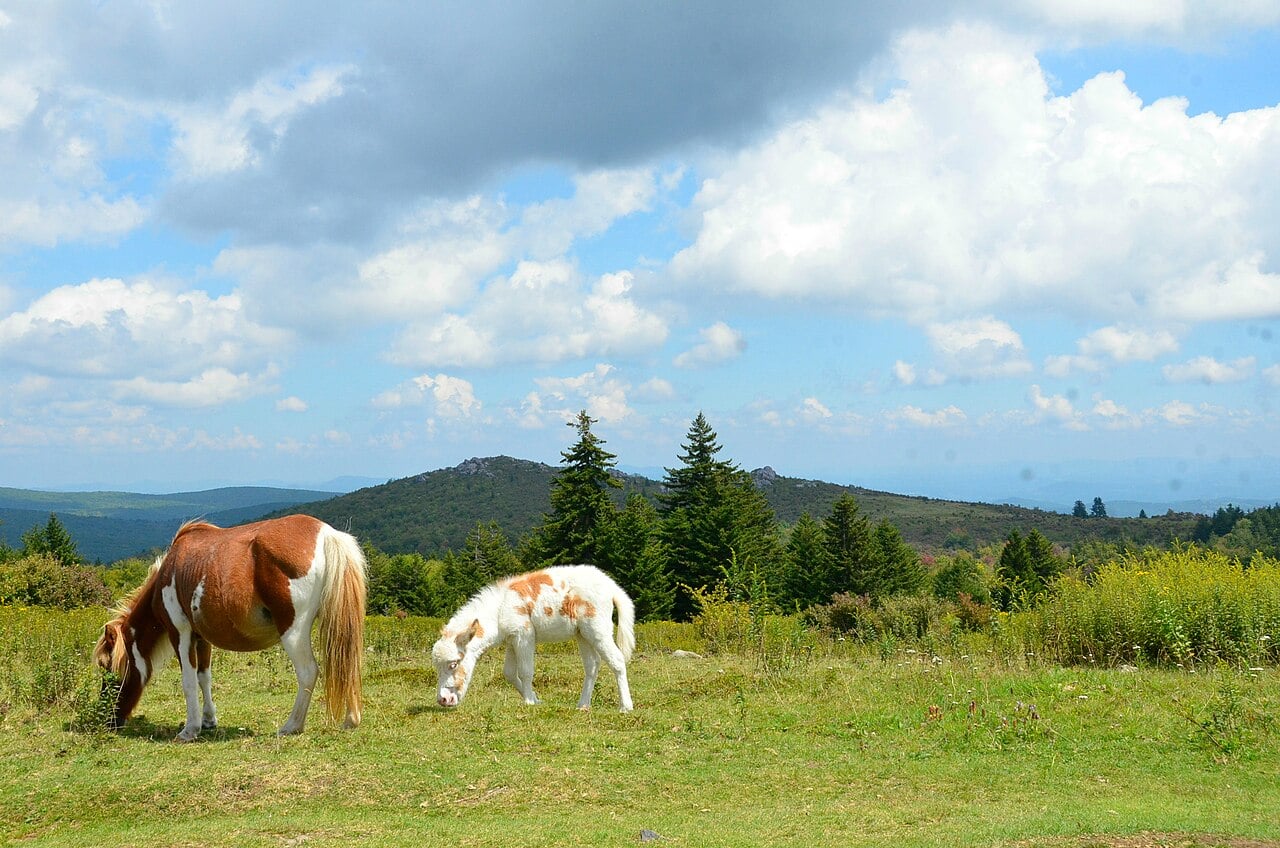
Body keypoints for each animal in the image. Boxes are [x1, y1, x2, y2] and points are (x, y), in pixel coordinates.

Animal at [93, 514, 367, 741]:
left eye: (108, 668)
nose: (109, 721)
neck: (170, 571)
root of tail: (327, 534)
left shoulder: (180, 633)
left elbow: (188, 681)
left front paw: (190, 730)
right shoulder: (201, 638)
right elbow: (204, 677)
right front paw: (208, 720)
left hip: (294, 631)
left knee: (308, 672)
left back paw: (292, 726)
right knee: (349, 663)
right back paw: (351, 720)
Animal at [431, 565, 635, 712]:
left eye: (453, 664)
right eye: (436, 667)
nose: (443, 699)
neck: (498, 611)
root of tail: (611, 586)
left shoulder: (524, 635)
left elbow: (525, 671)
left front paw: (529, 701)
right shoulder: (512, 640)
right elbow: (509, 673)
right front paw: (536, 699)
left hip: (598, 629)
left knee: (617, 660)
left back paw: (625, 707)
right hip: (582, 634)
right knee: (592, 665)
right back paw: (583, 705)